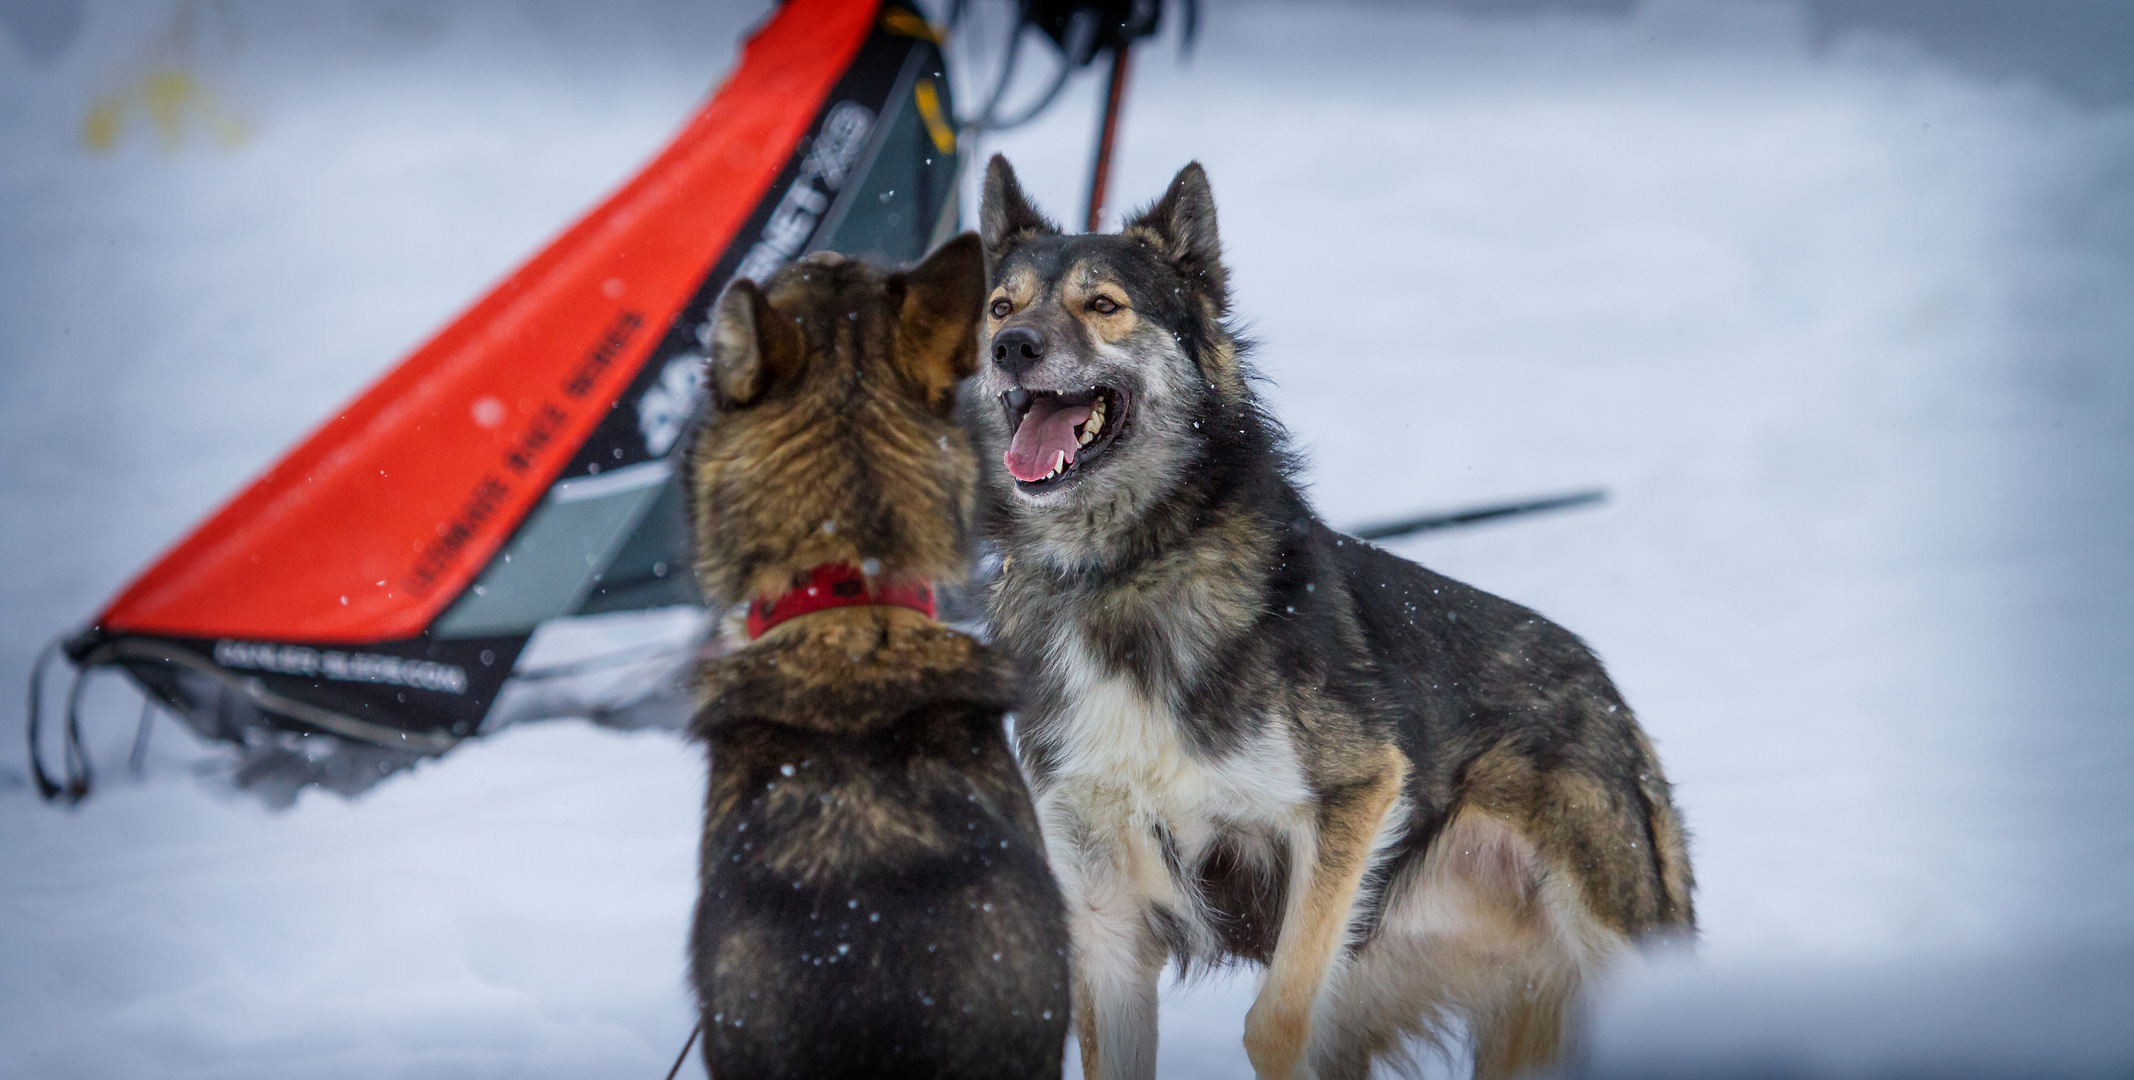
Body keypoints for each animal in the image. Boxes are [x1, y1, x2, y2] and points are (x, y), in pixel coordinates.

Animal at [973, 157, 1698, 1080]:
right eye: (1003, 307)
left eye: (1103, 305)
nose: (1012, 349)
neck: (1119, 573)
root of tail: (1610, 695)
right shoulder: (1106, 919)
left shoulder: (1356, 798)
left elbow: (1275, 1022)